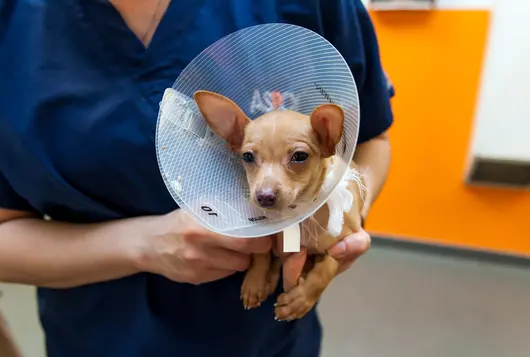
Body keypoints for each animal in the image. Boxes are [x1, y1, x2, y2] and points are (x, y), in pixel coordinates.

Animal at [195, 89, 368, 320]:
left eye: (300, 156)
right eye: (247, 157)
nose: (264, 196)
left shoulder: (341, 246)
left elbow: (326, 269)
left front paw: (300, 300)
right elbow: (261, 253)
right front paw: (255, 282)